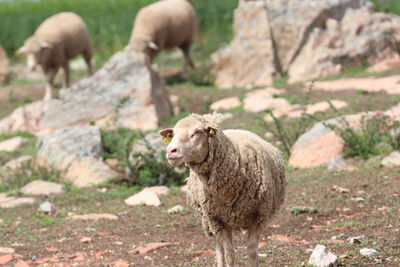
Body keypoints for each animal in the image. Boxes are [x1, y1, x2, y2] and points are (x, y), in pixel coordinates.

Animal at [158, 113, 286, 267]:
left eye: (196, 132)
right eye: (173, 134)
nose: (171, 151)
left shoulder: (258, 217)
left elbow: (252, 253)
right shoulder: (216, 220)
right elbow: (229, 255)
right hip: (212, 222)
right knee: (219, 250)